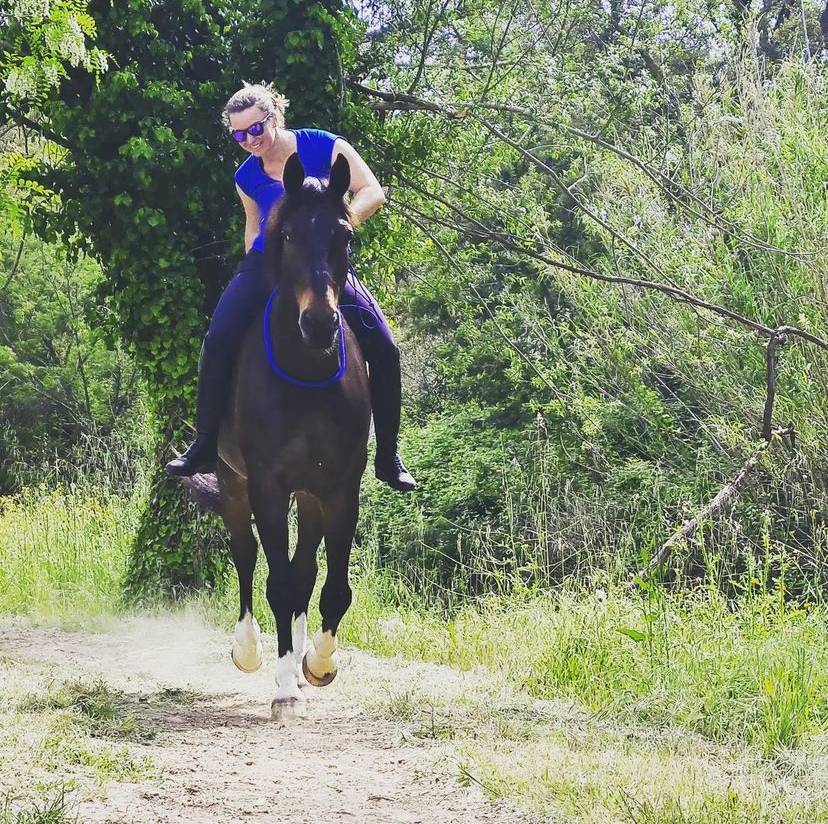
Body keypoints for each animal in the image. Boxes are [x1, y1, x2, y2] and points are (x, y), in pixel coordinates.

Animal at [191, 153, 371, 718]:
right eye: (287, 235)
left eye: (344, 236)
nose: (319, 324)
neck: (305, 373)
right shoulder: (267, 484)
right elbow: (276, 580)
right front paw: (285, 685)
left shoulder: (341, 486)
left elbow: (331, 587)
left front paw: (317, 665)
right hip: (233, 481)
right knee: (247, 556)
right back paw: (249, 652)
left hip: (309, 494)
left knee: (305, 570)